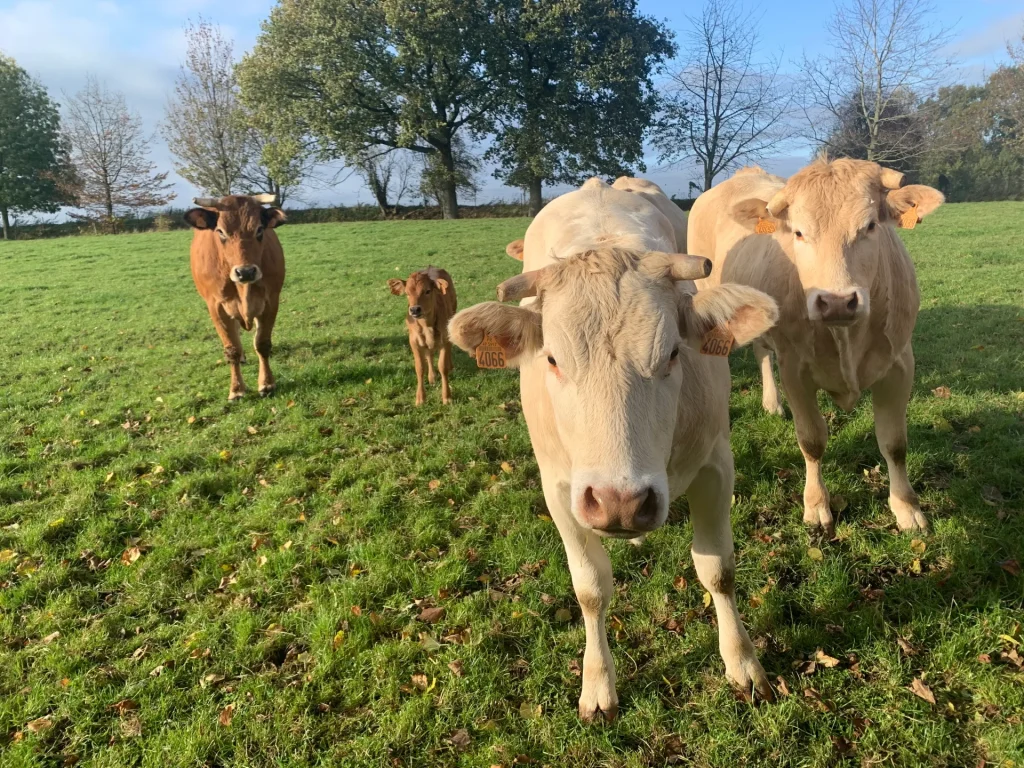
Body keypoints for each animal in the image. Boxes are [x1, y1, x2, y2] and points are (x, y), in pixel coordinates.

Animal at [184, 194, 286, 401]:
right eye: (220, 232)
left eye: (259, 229)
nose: (245, 272)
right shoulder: (217, 307)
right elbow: (231, 349)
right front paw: (237, 389)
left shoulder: (271, 301)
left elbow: (262, 343)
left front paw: (267, 384)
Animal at [388, 267, 457, 406]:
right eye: (407, 293)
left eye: (427, 291)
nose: (415, 309)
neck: (426, 326)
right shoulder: (414, 342)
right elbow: (419, 368)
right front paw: (420, 398)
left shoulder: (444, 340)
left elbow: (443, 367)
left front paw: (447, 397)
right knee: (429, 355)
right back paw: (432, 377)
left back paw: (450, 366)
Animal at [448, 178, 779, 721]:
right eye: (552, 359)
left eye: (672, 353)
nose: (620, 502)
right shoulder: (559, 488)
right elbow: (590, 589)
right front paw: (598, 683)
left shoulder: (715, 464)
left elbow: (718, 571)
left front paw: (743, 663)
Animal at [687, 159, 944, 536]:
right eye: (798, 232)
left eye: (870, 226)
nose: (837, 301)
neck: (845, 336)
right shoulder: (795, 369)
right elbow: (811, 440)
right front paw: (817, 505)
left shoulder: (899, 364)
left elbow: (894, 443)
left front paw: (907, 507)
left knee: (762, 352)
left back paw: (771, 403)